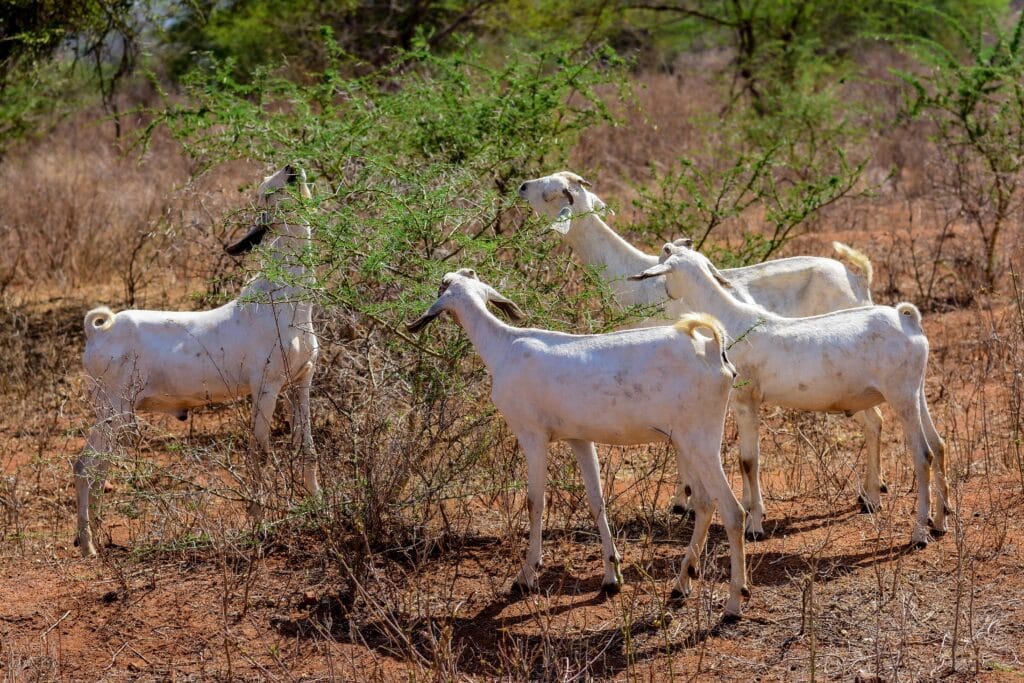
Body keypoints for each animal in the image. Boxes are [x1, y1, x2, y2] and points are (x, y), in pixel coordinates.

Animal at [75, 166, 319, 561]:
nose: (291, 169)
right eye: (267, 192)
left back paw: (96, 537)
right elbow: (259, 452)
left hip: (115, 415)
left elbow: (306, 449)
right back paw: (88, 546)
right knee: (86, 465)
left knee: (98, 467)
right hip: (115, 411)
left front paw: (321, 507)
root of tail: (98, 331)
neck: (287, 299)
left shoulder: (302, 382)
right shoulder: (265, 388)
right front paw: (260, 525)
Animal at [407, 270, 753, 618]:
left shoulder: (532, 435)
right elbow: (596, 500)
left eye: (443, 285)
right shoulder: (579, 439)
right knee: (705, 504)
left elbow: (535, 502)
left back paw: (734, 603)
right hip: (687, 442)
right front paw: (612, 576)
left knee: (733, 511)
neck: (504, 346)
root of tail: (713, 350)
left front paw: (525, 576)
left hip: (700, 440)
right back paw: (682, 584)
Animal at [520, 171, 888, 518]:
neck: (634, 279)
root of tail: (857, 279)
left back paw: (870, 497)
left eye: (550, 192)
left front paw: (684, 502)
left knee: (874, 421)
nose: (522, 187)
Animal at [630, 242, 950, 548]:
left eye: (667, 253)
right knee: (938, 443)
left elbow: (749, 461)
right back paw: (940, 521)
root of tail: (907, 319)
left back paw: (919, 534)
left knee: (923, 454)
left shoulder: (747, 402)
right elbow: (744, 461)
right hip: (915, 393)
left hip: (900, 395)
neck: (731, 321)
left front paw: (754, 525)